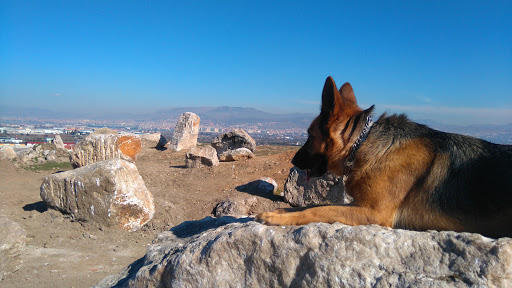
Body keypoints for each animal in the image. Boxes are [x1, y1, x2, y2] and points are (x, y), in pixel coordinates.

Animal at [258, 76, 512, 238]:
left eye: (309, 135)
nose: (293, 161)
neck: (362, 145)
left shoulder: (373, 212)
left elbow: (318, 210)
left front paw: (277, 218)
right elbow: (314, 205)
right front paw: (279, 212)